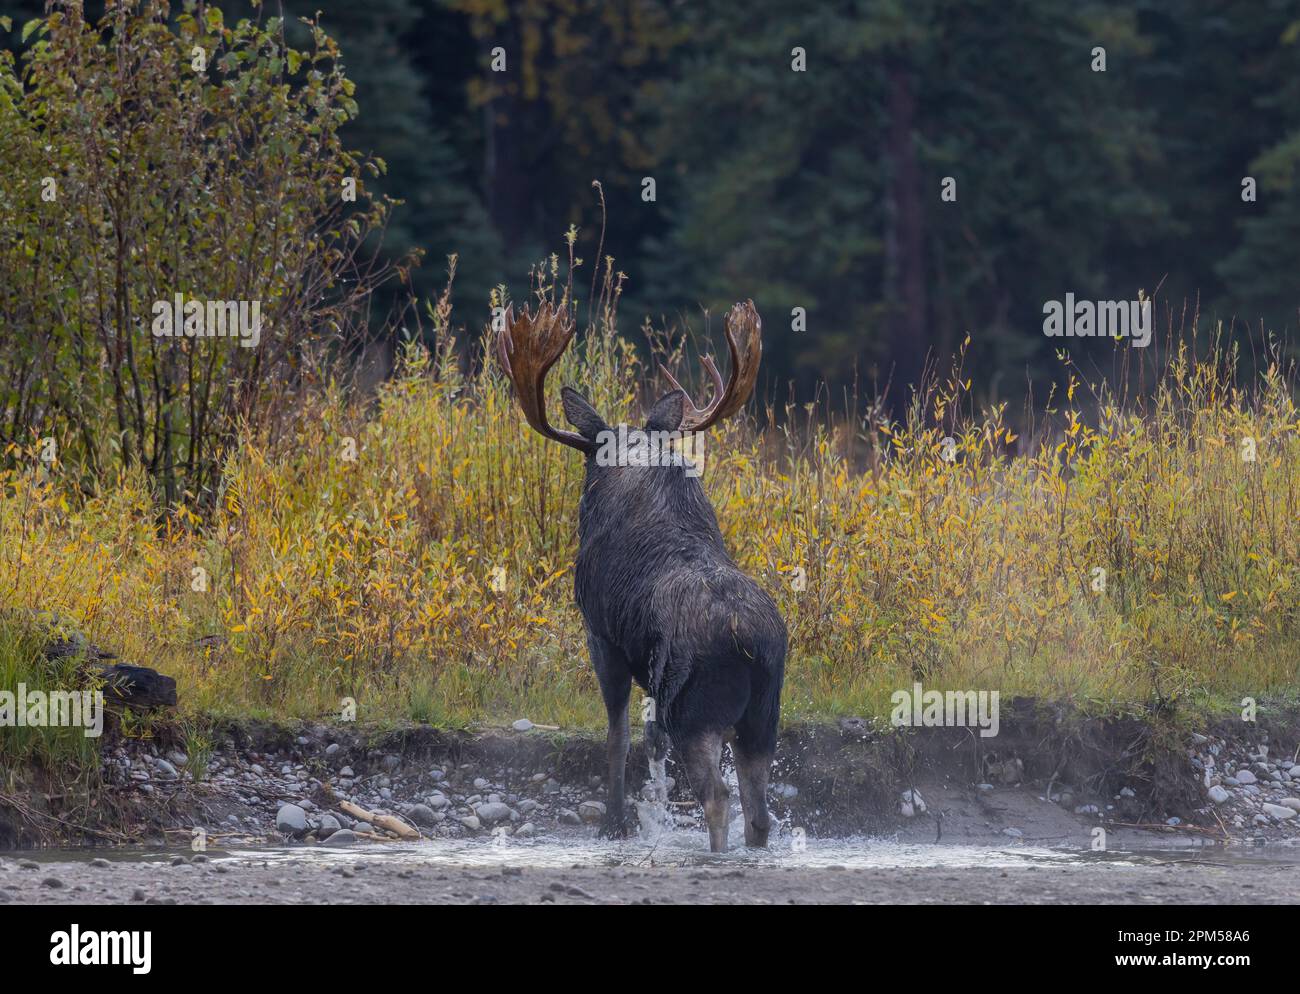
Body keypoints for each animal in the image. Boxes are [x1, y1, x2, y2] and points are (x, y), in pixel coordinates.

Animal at [497, 298, 786, 852]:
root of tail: (749, 643)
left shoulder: (601, 634)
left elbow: (618, 731)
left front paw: (616, 822)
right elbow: (647, 744)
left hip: (695, 708)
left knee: (718, 798)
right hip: (765, 714)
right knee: (760, 812)